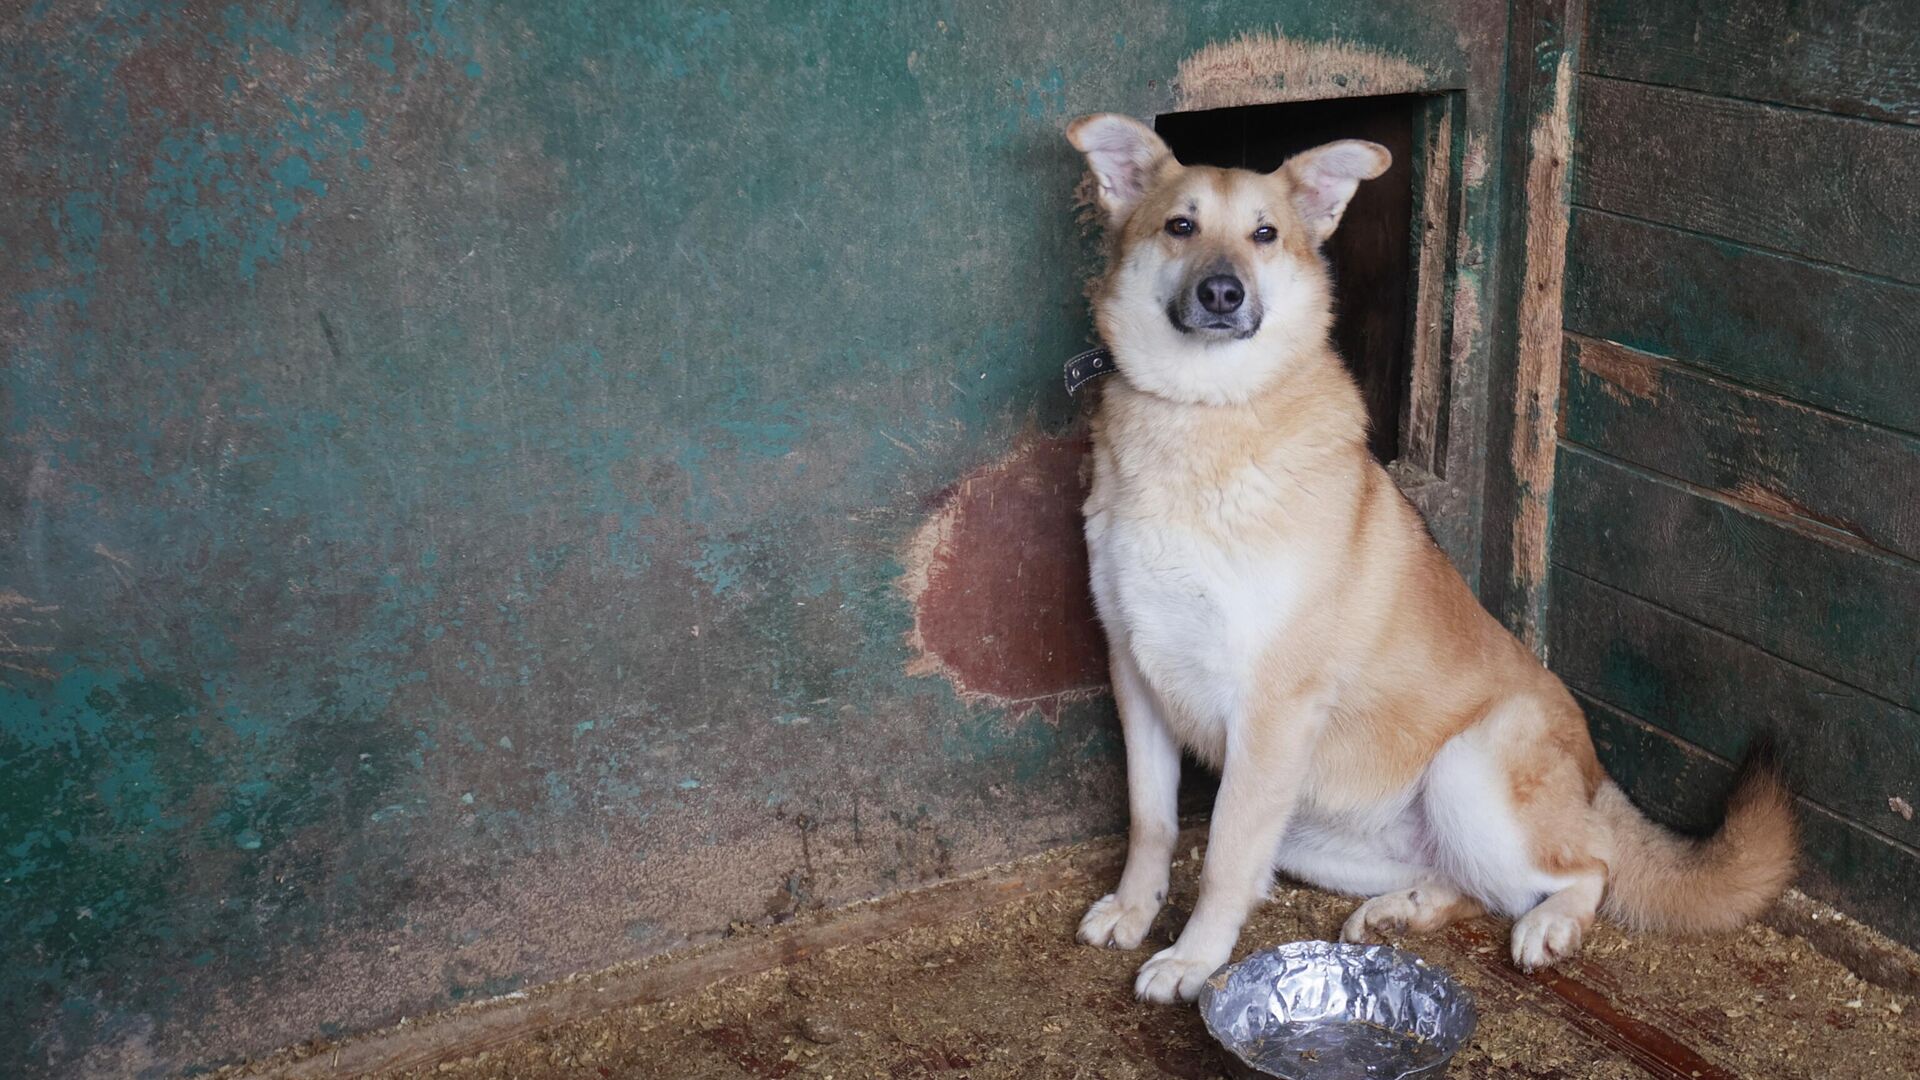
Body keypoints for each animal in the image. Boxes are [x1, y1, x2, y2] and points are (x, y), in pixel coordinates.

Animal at [1067, 111, 1797, 999]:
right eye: (1180, 225)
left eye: (1265, 234)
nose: (1222, 293)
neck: (1202, 412)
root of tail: (1598, 782)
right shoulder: (1135, 675)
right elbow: (1153, 821)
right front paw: (1134, 909)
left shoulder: (1270, 709)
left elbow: (1224, 861)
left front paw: (1193, 957)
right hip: (1314, 831)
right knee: (1467, 882)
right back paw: (1402, 911)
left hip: (1465, 771)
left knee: (1586, 868)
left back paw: (1549, 925)